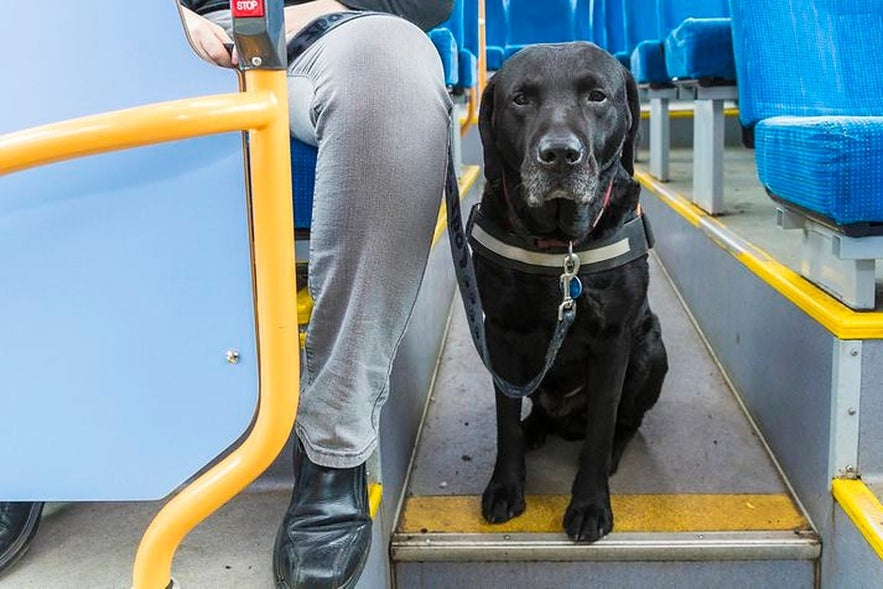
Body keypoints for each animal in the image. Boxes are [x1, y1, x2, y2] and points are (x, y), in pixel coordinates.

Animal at [474, 42, 668, 544]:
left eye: (597, 95)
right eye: (521, 98)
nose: (560, 154)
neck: (563, 249)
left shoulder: (615, 339)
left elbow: (602, 425)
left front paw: (590, 505)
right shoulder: (499, 332)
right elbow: (504, 419)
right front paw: (505, 486)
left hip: (651, 347)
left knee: (626, 421)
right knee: (535, 413)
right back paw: (535, 429)